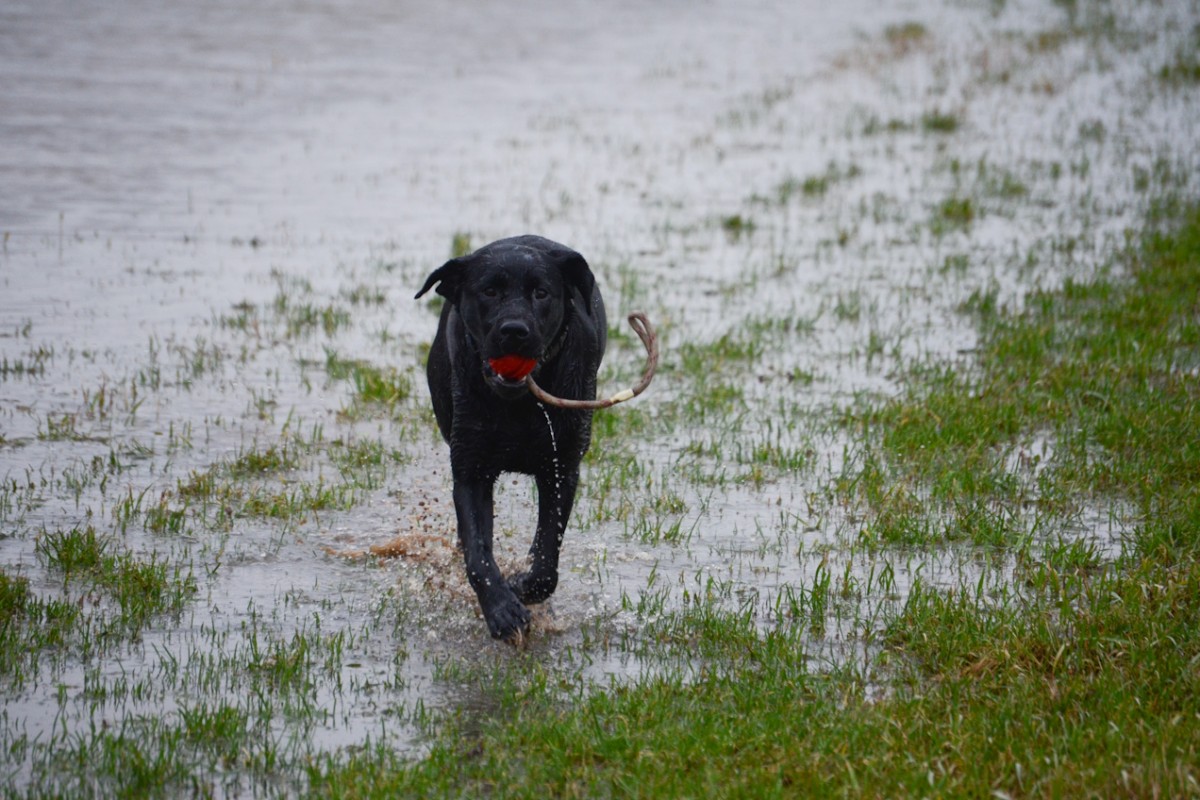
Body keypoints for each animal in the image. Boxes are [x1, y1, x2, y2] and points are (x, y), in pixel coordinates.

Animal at [415, 235, 604, 642]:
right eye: (489, 291)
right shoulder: (471, 471)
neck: (518, 406)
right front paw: (502, 610)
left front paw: (520, 585)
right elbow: (478, 554)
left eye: (541, 292)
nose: (514, 330)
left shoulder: (561, 468)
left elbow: (547, 558)